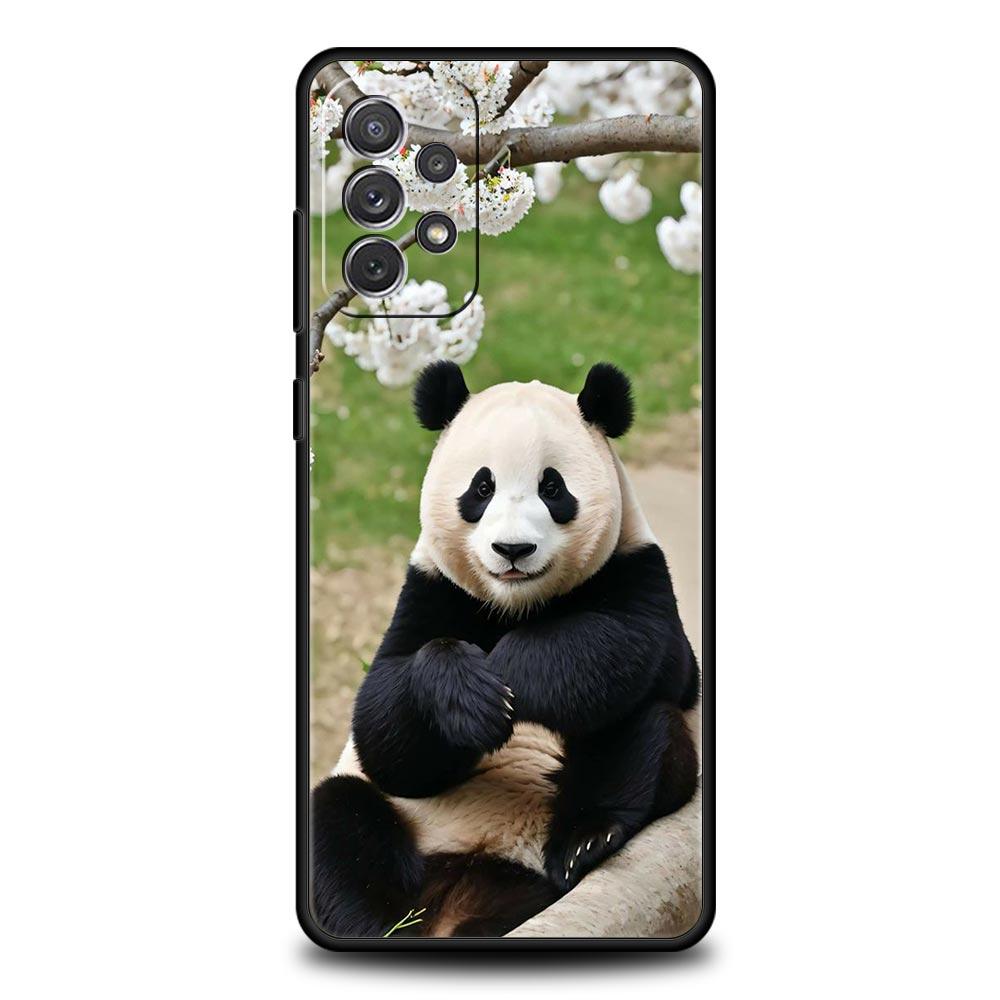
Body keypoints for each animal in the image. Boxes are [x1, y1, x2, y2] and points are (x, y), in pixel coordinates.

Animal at [310, 360, 700, 938]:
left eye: (552, 487)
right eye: (482, 486)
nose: (513, 549)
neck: (517, 605)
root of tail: (455, 904)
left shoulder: (636, 570)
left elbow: (621, 642)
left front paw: (508, 674)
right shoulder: (430, 590)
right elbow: (384, 730)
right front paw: (470, 696)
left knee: (641, 729)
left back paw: (585, 839)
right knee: (339, 819)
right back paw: (378, 926)